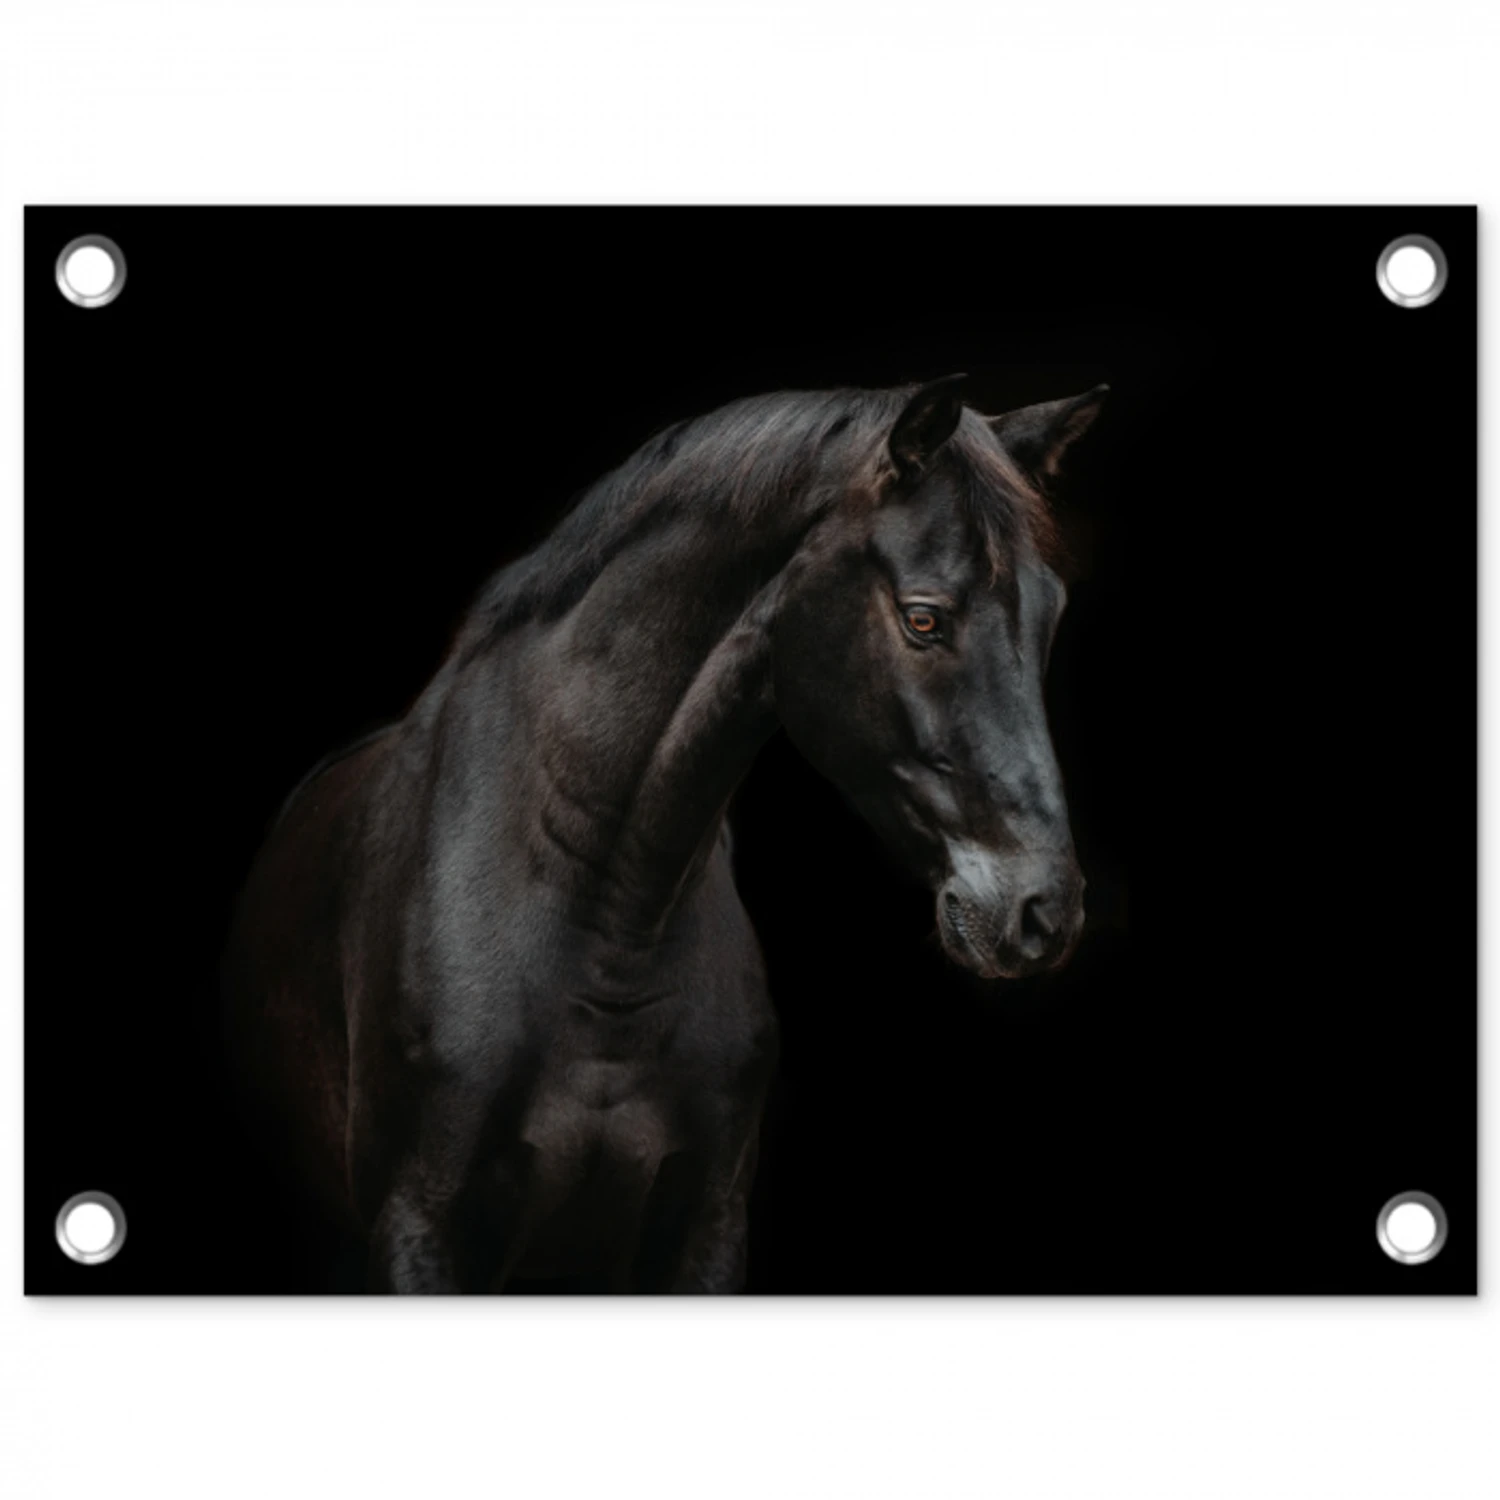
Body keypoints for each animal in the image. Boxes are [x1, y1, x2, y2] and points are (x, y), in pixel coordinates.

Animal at [221, 374, 1108, 1293]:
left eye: (1050, 616)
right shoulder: (417, 1228)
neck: (605, 919)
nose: (1044, 911)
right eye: (924, 618)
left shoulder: (706, 1227)